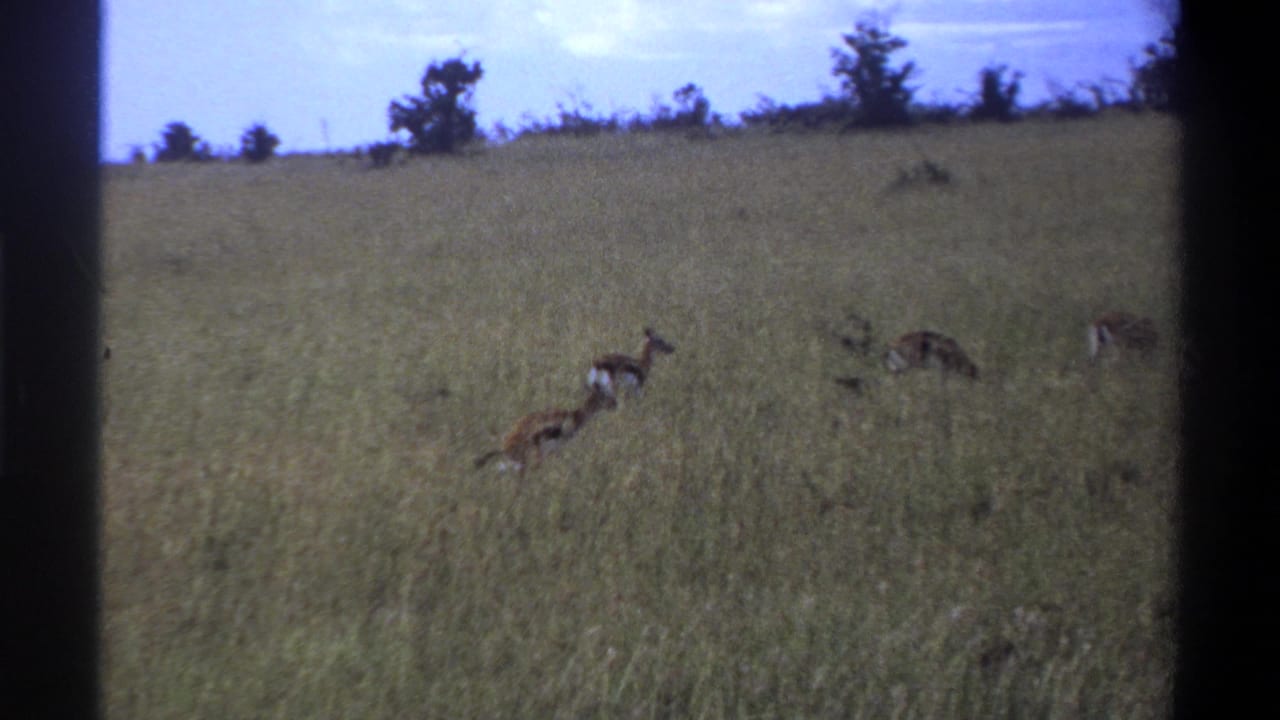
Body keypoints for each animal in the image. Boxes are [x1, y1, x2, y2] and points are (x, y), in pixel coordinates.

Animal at [474, 384, 618, 474]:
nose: (614, 404)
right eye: (604, 395)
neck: (574, 416)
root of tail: (504, 446)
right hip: (523, 460)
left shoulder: (553, 451)